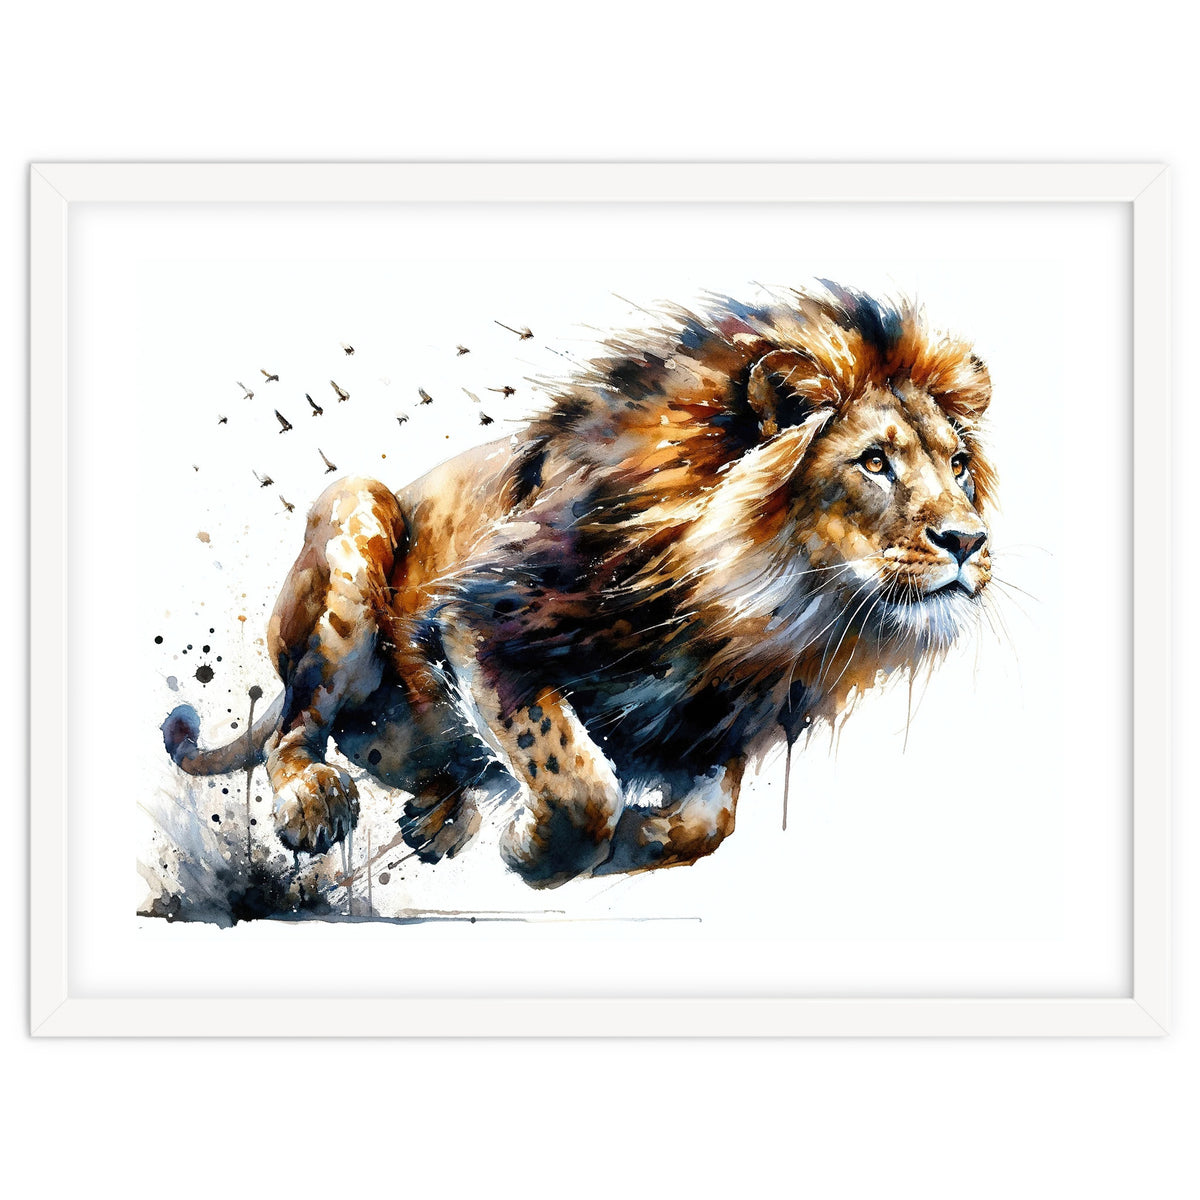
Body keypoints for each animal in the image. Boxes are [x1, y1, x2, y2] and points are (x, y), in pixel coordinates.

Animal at [162, 283, 995, 888]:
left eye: (958, 465)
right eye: (874, 462)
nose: (968, 542)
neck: (758, 611)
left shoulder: (715, 714)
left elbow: (710, 824)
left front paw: (636, 838)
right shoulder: (477, 618)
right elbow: (574, 777)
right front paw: (537, 848)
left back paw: (438, 815)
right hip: (355, 508)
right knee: (298, 725)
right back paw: (316, 802)